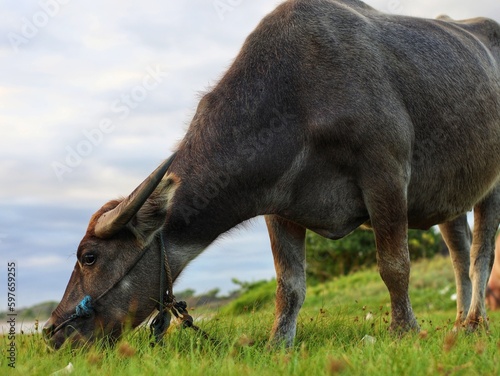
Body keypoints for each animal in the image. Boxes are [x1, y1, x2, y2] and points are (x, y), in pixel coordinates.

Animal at [43, 0, 500, 350]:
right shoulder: (280, 207)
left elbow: (394, 265)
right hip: (450, 199)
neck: (296, 98)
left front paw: (404, 331)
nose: (51, 331)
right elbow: (289, 285)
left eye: (89, 256)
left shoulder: (384, 173)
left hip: (492, 186)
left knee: (480, 254)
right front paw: (278, 343)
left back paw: (475, 322)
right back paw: (458, 320)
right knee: (459, 251)